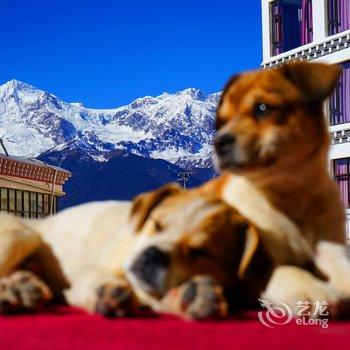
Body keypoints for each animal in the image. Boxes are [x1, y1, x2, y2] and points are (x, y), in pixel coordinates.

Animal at [213, 60, 350, 318]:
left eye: (262, 108)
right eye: (221, 121)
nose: (218, 142)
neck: (291, 195)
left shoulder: (330, 245)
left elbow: (341, 263)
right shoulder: (254, 266)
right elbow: (284, 270)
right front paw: (310, 288)